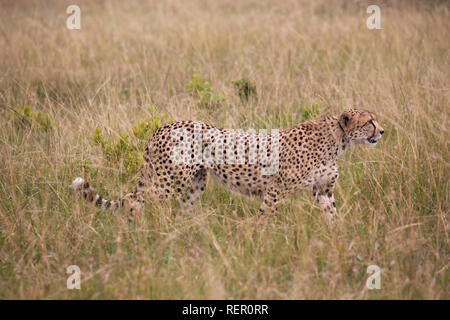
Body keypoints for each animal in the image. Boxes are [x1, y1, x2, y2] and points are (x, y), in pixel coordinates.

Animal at [72, 109, 384, 224]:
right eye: (369, 121)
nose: (382, 131)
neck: (337, 141)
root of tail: (163, 127)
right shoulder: (276, 188)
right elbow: (264, 216)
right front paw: (259, 241)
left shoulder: (323, 191)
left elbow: (333, 216)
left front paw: (340, 239)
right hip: (169, 180)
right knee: (135, 201)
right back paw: (143, 236)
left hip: (196, 183)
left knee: (180, 209)